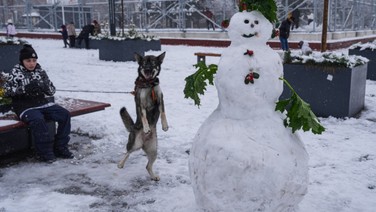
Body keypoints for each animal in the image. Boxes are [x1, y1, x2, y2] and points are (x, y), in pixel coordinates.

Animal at [117, 51, 169, 181]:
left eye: (154, 63)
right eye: (144, 63)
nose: (147, 70)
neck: (149, 84)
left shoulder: (160, 100)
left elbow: (163, 113)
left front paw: (165, 126)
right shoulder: (141, 104)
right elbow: (144, 116)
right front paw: (146, 128)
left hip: (153, 151)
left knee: (147, 166)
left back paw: (154, 176)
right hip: (135, 143)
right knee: (128, 152)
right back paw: (121, 163)